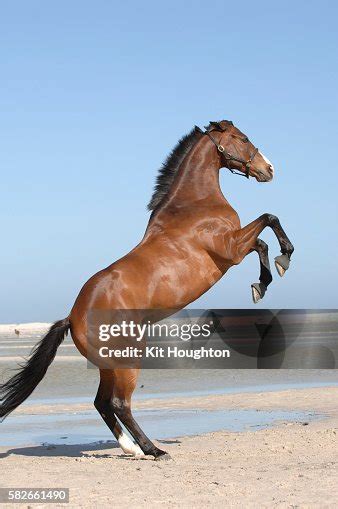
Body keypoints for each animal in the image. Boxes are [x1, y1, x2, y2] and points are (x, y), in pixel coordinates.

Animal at [0, 120, 294, 460]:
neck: (194, 206)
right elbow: (268, 220)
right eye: (243, 138)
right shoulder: (230, 249)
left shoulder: (236, 247)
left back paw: (131, 448)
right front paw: (283, 259)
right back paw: (153, 450)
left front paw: (263, 282)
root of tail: (72, 318)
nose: (269, 169)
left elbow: (262, 241)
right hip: (128, 360)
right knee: (119, 404)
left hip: (108, 366)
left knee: (102, 403)